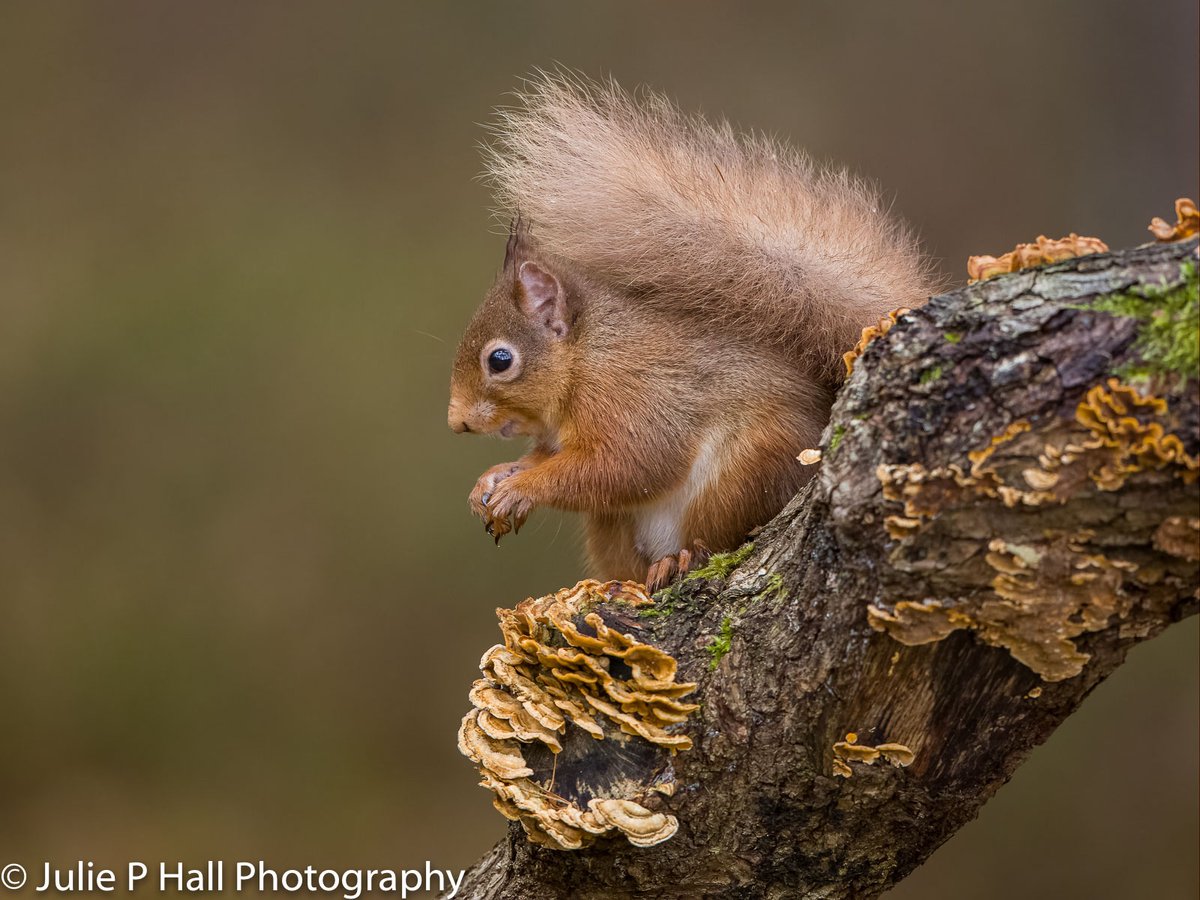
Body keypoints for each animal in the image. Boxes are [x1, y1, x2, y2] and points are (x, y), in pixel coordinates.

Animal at [448, 74, 936, 588]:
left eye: (500, 360)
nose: (456, 423)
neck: (586, 358)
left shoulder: (633, 394)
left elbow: (627, 465)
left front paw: (522, 487)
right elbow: (546, 458)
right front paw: (495, 477)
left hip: (742, 474)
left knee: (718, 534)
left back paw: (682, 558)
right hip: (613, 527)